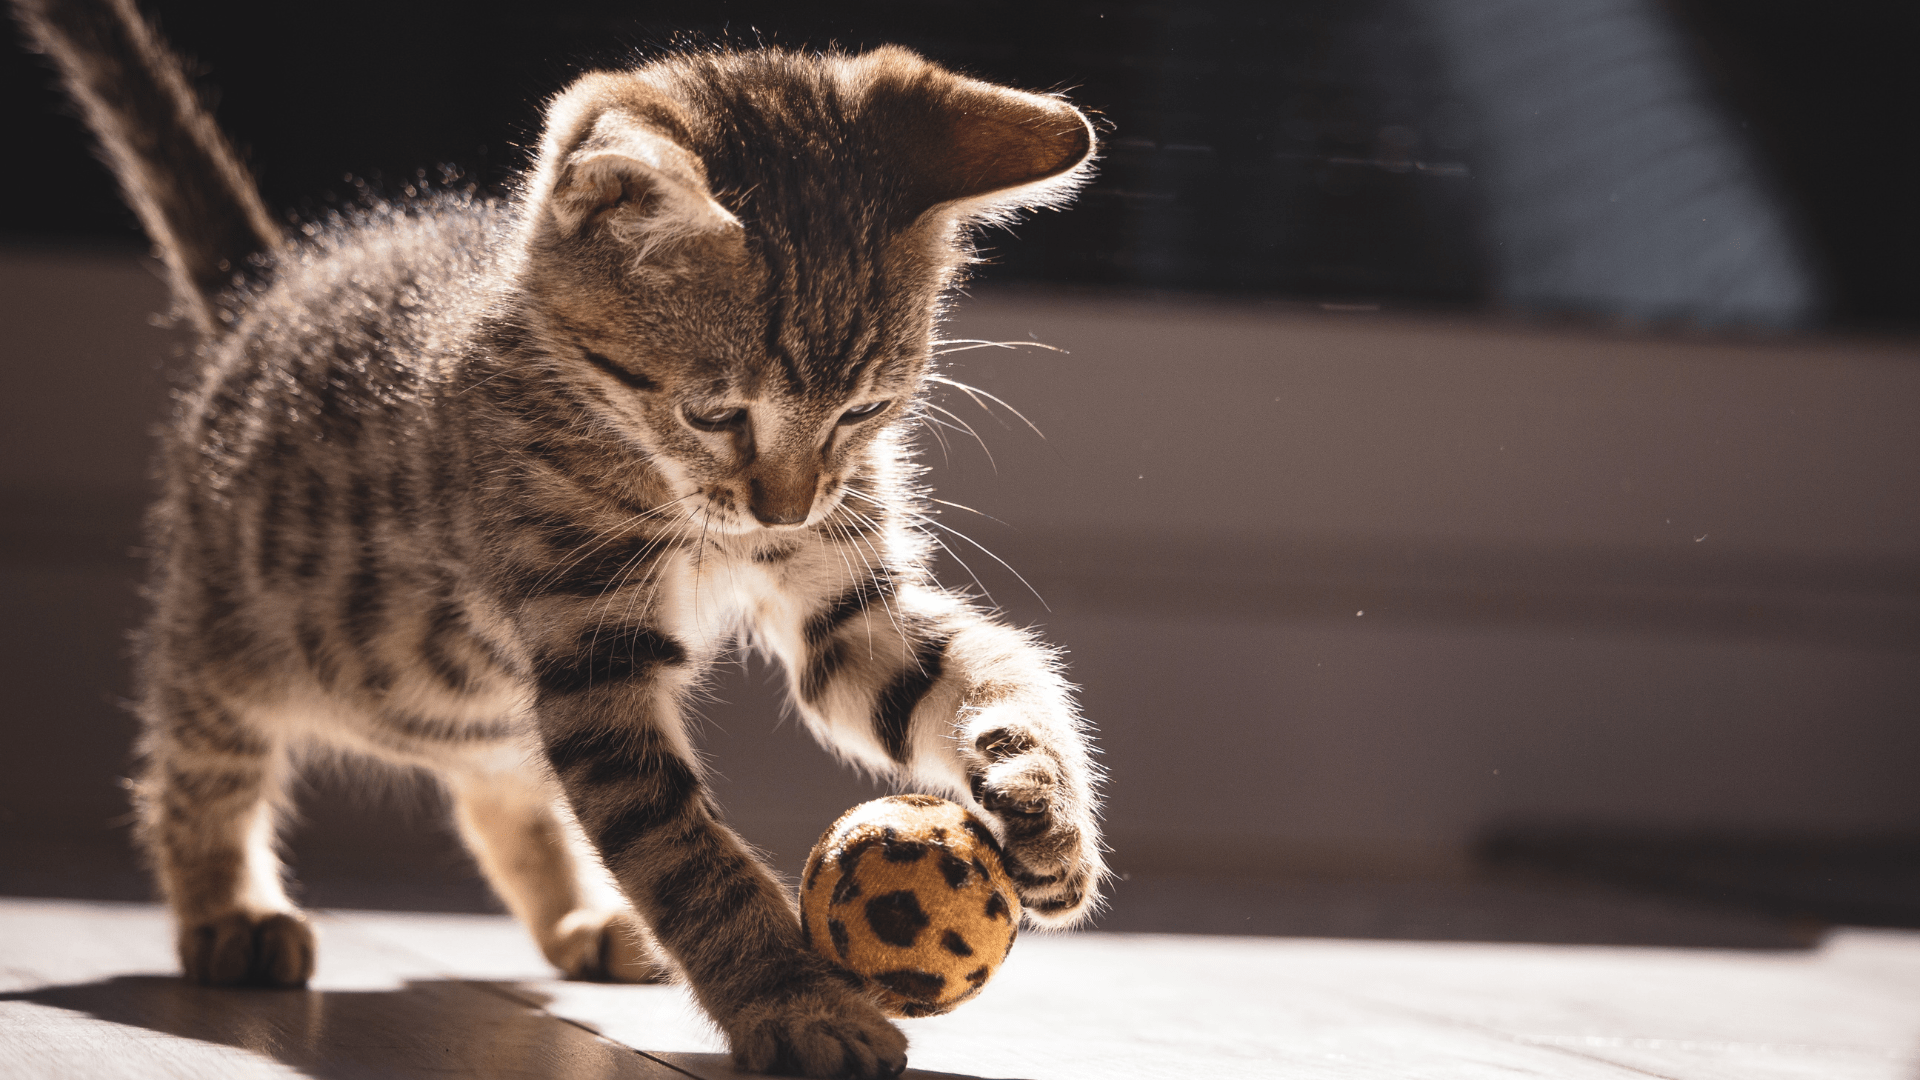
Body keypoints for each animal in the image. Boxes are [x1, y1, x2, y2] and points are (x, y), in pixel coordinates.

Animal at [18, 2, 1098, 1076]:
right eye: (717, 414)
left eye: (864, 410)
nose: (784, 510)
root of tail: (274, 291)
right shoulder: (591, 648)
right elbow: (678, 848)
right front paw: (793, 1002)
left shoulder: (844, 606)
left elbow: (976, 669)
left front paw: (1042, 805)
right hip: (232, 634)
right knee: (197, 761)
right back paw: (228, 911)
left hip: (479, 703)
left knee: (500, 788)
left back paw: (583, 920)